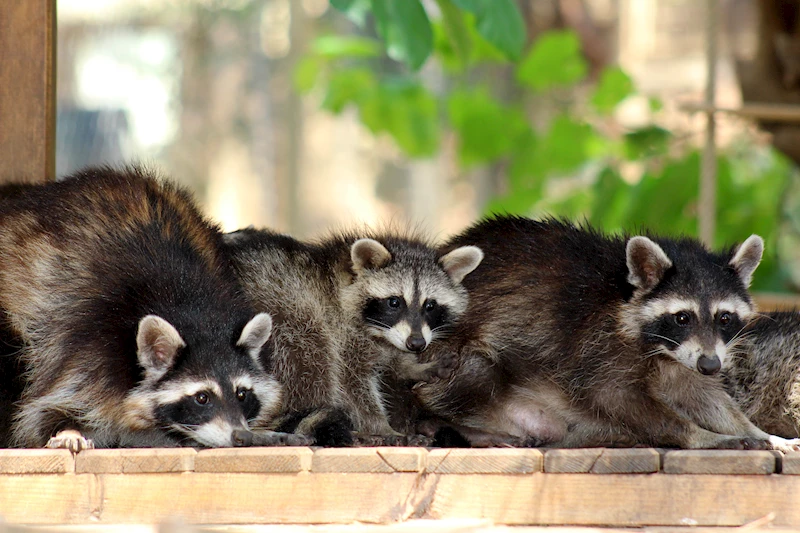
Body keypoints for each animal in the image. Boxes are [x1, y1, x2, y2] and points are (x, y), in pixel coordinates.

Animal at [1, 166, 298, 448]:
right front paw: (66, 429)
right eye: (202, 397)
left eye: (242, 393)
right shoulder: (90, 350)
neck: (190, 306)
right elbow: (46, 408)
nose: (240, 436)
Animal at [222, 229, 482, 440]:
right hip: (288, 315)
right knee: (312, 356)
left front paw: (414, 367)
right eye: (394, 302)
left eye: (430, 306)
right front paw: (380, 426)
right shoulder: (342, 332)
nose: (417, 344)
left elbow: (393, 359)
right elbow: (352, 384)